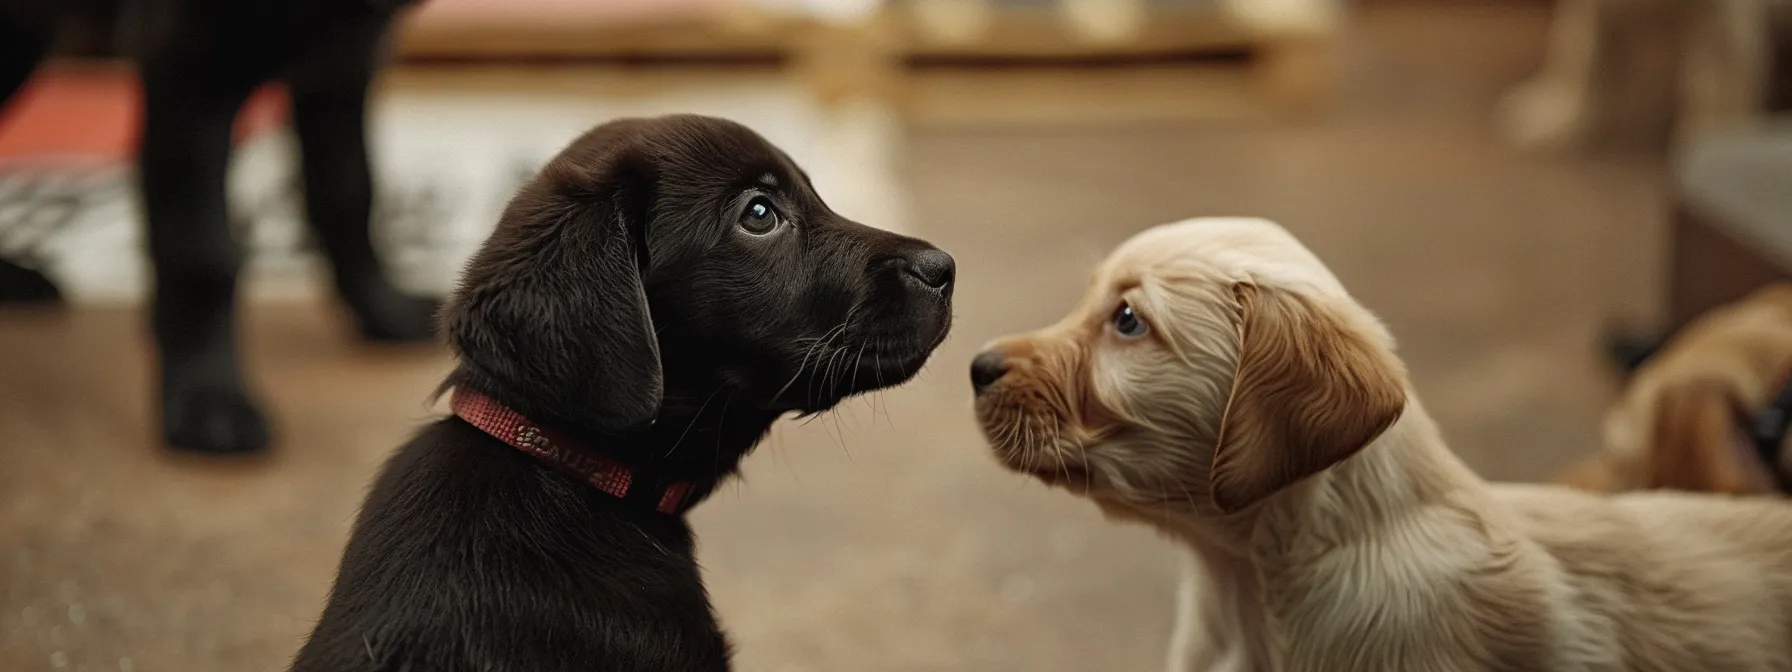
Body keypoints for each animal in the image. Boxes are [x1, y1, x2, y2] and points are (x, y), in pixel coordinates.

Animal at [0, 0, 433, 455]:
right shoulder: (190, 74)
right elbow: (205, 255)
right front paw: (207, 395)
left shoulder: (341, 67)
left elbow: (350, 195)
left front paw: (385, 309)